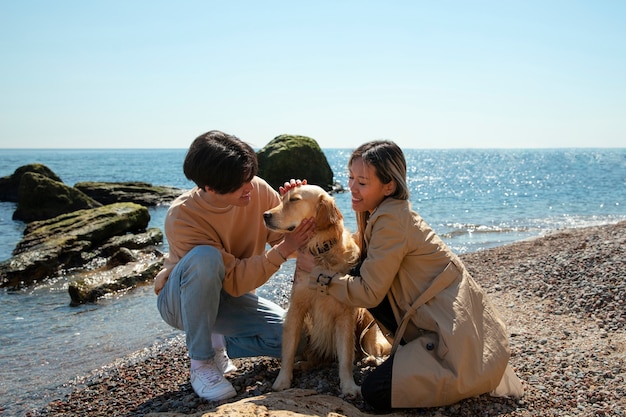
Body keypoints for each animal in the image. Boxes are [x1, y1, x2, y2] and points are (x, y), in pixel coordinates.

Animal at [260, 184, 388, 394]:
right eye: (282, 198)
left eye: (294, 200)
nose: (265, 215)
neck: (320, 251)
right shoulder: (296, 308)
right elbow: (288, 350)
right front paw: (282, 380)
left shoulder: (345, 314)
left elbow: (346, 356)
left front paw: (349, 385)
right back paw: (304, 364)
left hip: (366, 318)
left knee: (369, 347)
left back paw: (370, 358)